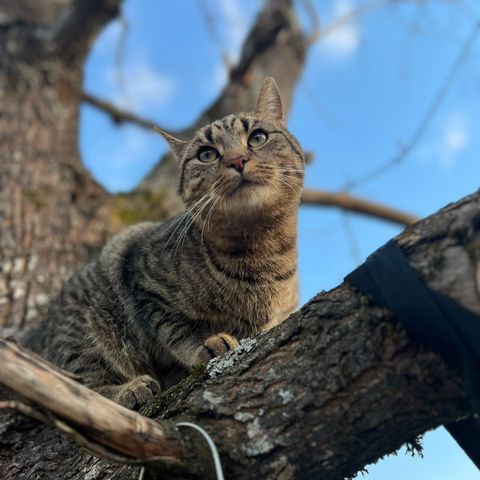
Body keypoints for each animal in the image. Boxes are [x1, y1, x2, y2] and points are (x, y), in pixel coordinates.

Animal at [30, 78, 306, 408]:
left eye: (258, 137)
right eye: (207, 154)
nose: (237, 160)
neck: (259, 250)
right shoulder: (144, 285)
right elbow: (177, 330)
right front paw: (206, 345)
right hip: (85, 331)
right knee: (81, 387)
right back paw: (129, 389)